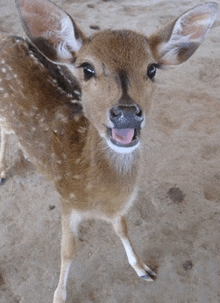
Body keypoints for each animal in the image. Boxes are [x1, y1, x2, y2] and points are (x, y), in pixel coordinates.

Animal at [0, 0, 217, 302]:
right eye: (87, 68)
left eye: (152, 68)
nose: (126, 113)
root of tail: (10, 38)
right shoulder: (66, 200)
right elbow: (67, 251)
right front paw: (58, 295)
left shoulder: (118, 207)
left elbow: (122, 228)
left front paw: (143, 269)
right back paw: (2, 171)